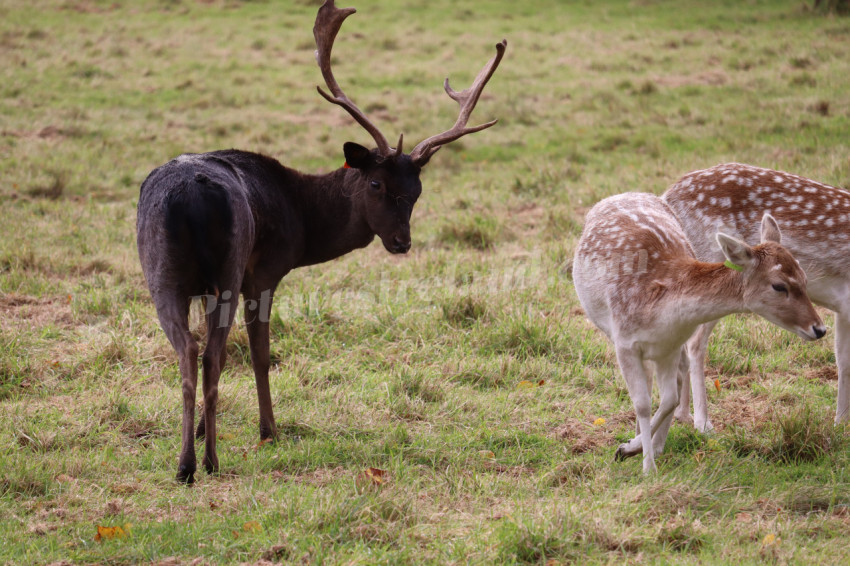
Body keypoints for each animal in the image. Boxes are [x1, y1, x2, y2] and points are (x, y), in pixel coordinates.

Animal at [132, 1, 504, 488]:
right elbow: (259, 354)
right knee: (207, 353)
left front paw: (202, 429)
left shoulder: (220, 285)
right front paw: (268, 430)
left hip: (168, 274)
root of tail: (192, 198)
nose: (401, 242)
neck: (300, 220)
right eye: (376, 183)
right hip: (220, 268)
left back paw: (189, 463)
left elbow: (227, 351)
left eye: (418, 190)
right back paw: (207, 460)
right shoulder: (262, 272)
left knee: (191, 352)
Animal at [568, 194, 820, 474]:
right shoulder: (624, 342)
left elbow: (669, 398)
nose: (819, 328)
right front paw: (645, 466)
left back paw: (654, 444)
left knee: (677, 376)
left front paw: (631, 448)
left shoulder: (669, 346)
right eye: (778, 285)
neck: (659, 310)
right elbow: (643, 404)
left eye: (804, 277)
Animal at [664, 162, 848, 432]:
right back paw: (703, 422)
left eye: (805, 277)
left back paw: (683, 415)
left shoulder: (843, 308)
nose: (819, 330)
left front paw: (841, 423)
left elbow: (842, 360)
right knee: (695, 342)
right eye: (779, 286)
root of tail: (667, 196)